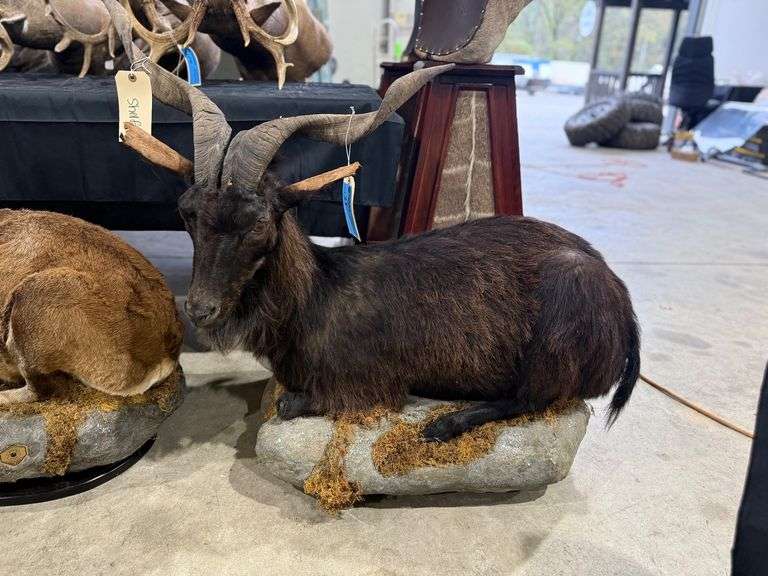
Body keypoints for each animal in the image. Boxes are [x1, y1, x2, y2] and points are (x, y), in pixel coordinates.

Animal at [104, 0, 640, 440]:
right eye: (188, 213)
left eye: (258, 223)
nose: (200, 309)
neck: (314, 297)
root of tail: (622, 306)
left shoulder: (366, 383)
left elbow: (292, 404)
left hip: (557, 338)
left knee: (536, 397)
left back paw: (446, 423)